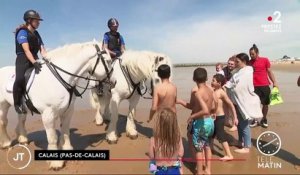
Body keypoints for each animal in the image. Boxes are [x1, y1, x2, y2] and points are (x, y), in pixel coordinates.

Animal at [0, 41, 111, 170]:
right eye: (108, 60)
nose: (114, 82)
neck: (58, 78)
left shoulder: (68, 111)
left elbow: (66, 131)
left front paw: (67, 150)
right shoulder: (48, 114)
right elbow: (52, 137)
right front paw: (56, 163)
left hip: (22, 108)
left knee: (21, 120)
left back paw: (23, 139)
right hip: (3, 105)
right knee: (3, 122)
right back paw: (6, 143)